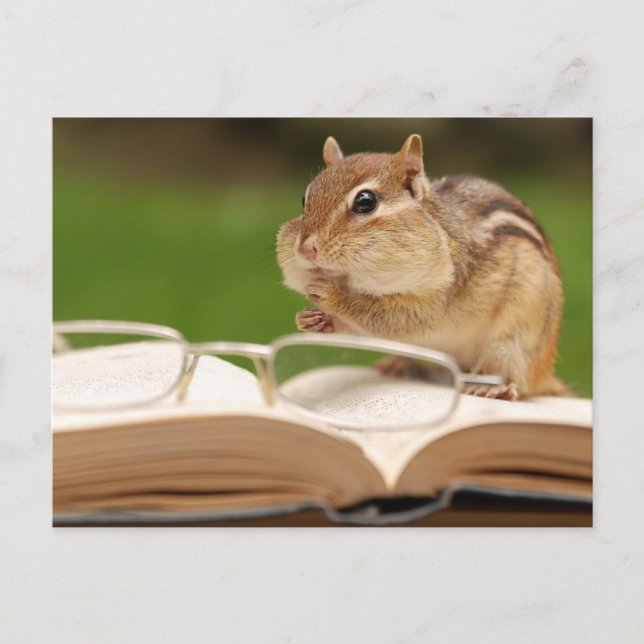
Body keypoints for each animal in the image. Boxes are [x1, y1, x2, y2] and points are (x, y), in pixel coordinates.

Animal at [276, 134, 568, 401]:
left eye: (365, 201)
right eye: (304, 199)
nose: (306, 250)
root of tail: (544, 373)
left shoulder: (438, 296)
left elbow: (385, 317)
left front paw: (331, 296)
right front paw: (312, 319)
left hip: (515, 341)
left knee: (516, 378)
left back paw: (493, 387)